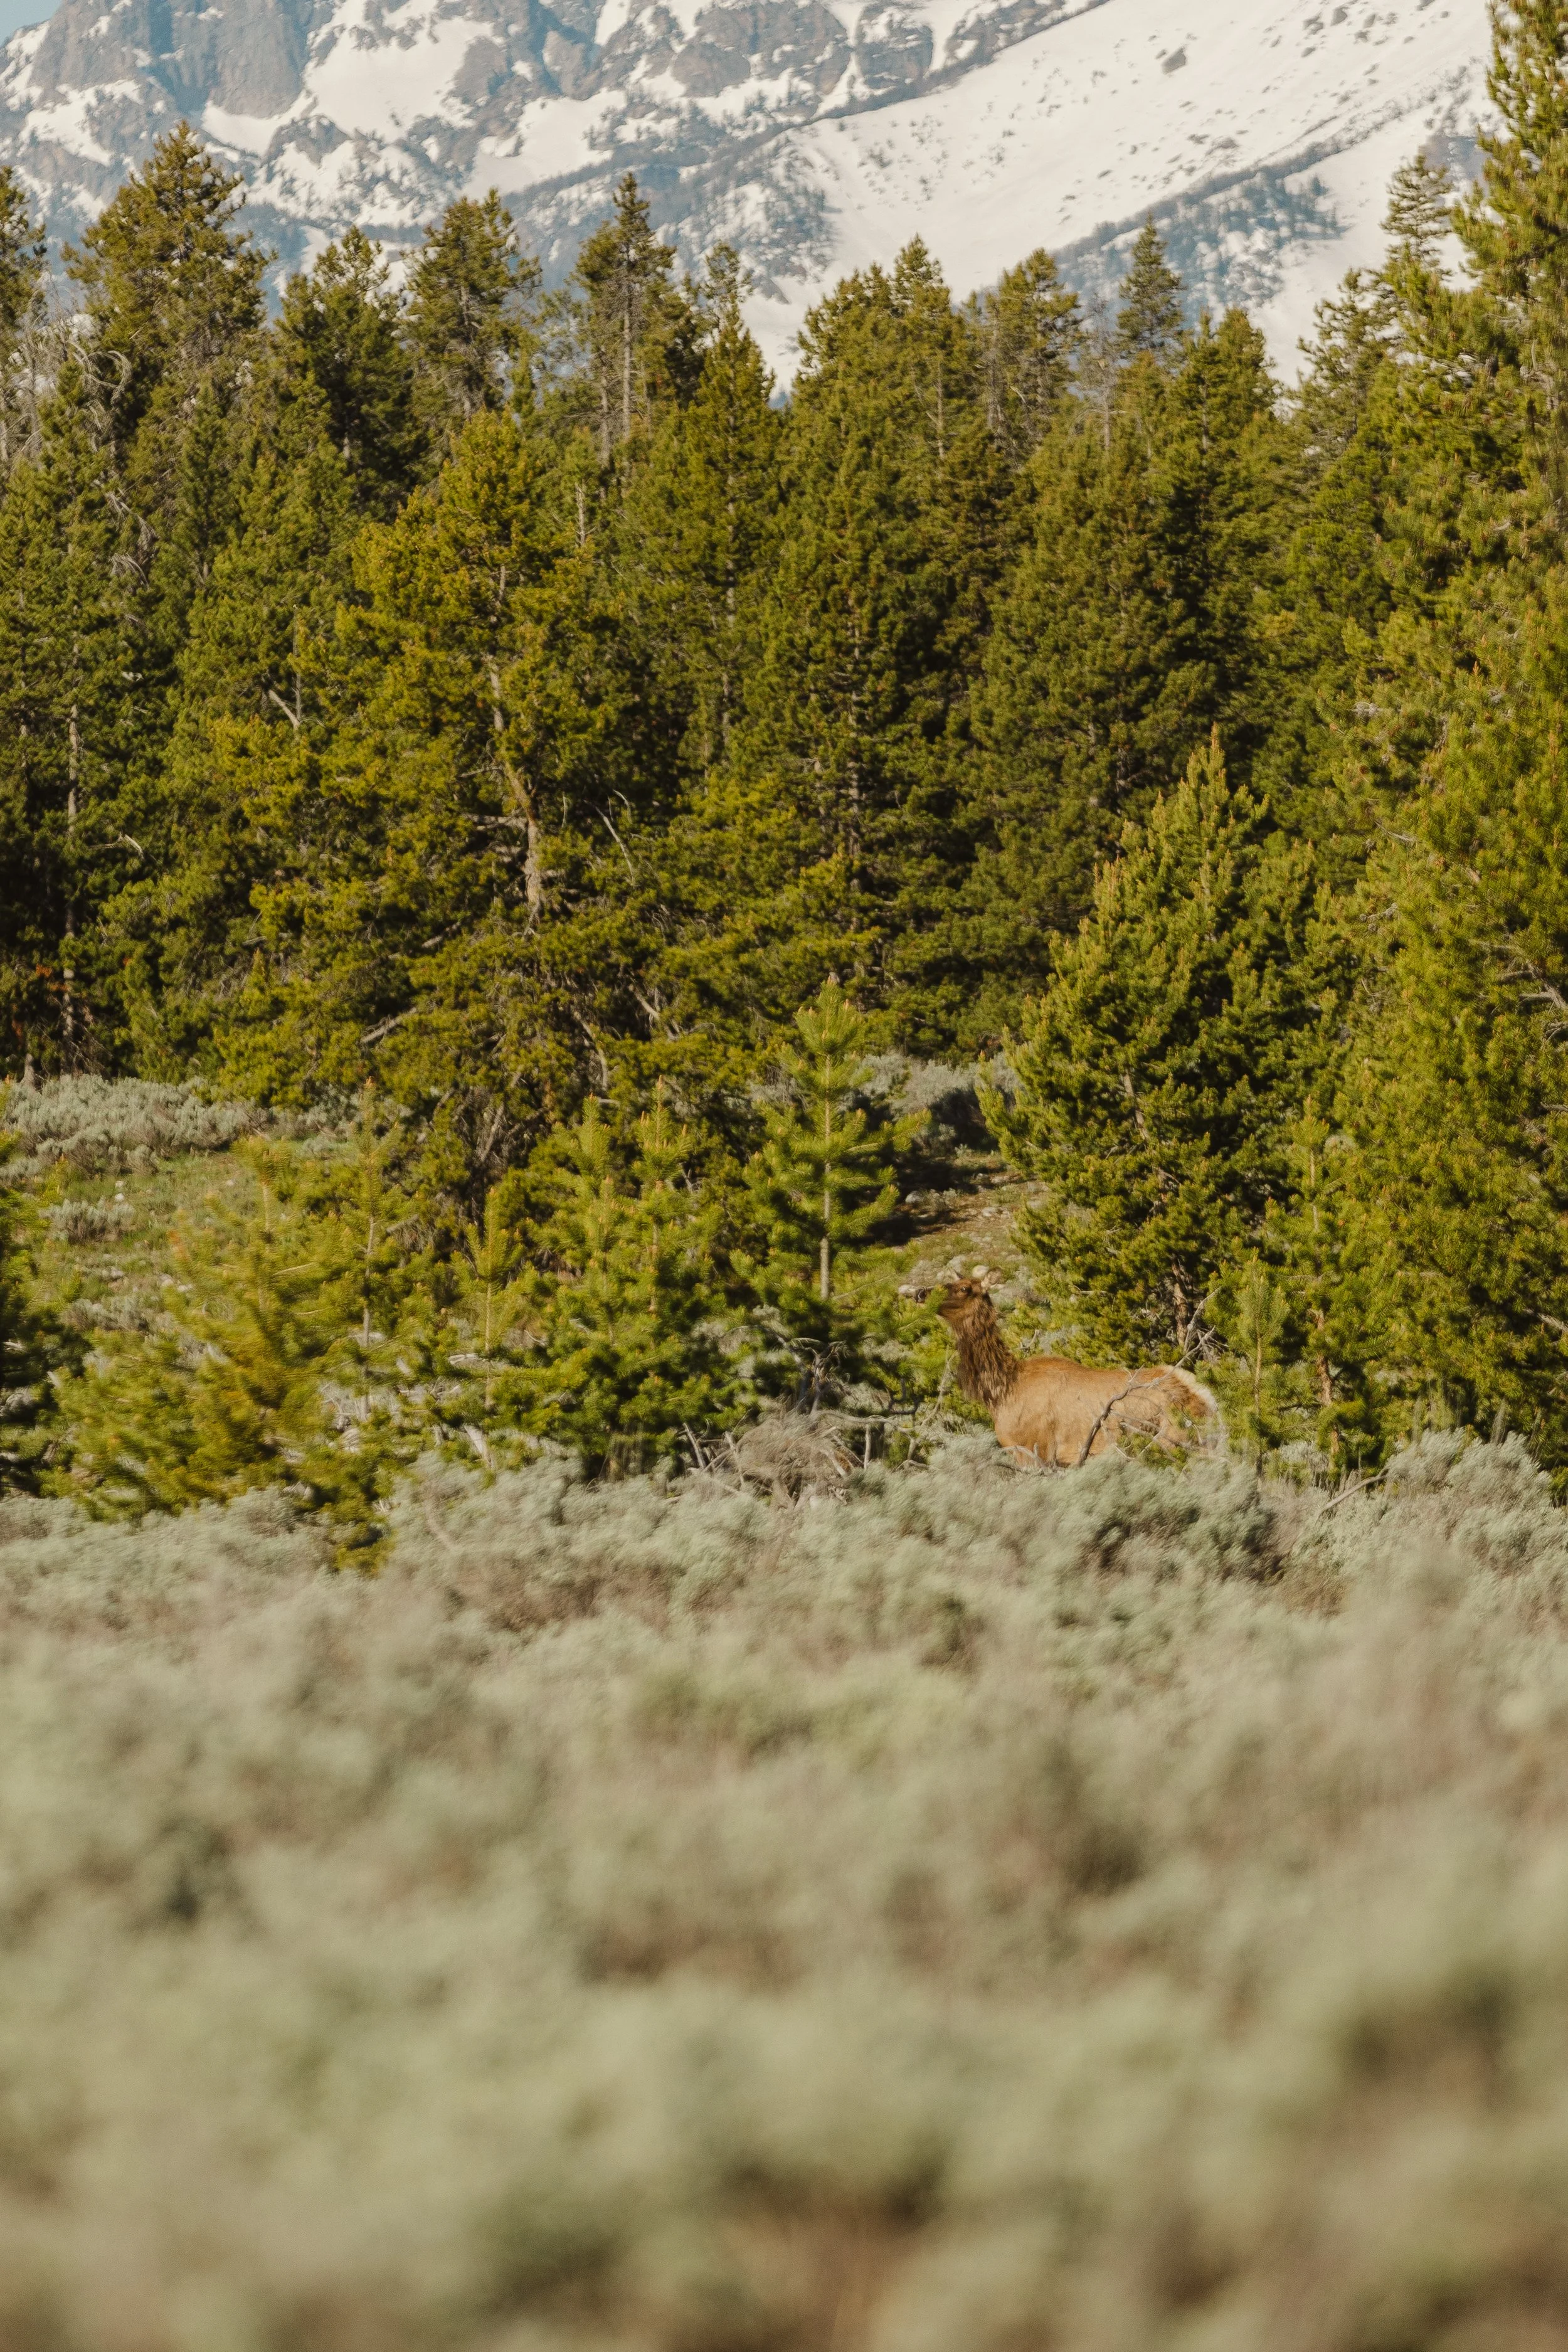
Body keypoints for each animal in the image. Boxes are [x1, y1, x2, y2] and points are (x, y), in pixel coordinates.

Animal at [908, 1269, 1221, 1468]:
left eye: (964, 1288)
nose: (921, 1293)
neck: (1002, 1392)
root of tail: (1206, 1399)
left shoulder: (1033, 1452)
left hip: (1176, 1443)